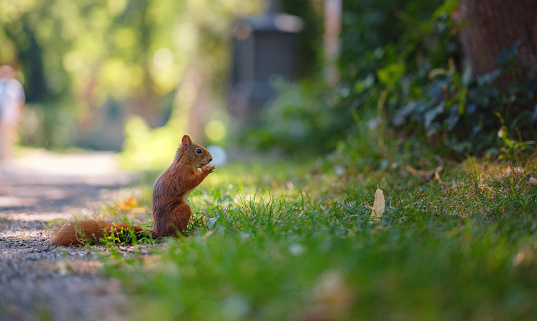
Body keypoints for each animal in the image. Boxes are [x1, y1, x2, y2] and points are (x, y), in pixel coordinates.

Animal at [49, 135, 214, 245]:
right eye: (198, 150)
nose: (211, 159)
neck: (184, 160)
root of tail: (158, 231)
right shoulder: (181, 174)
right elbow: (190, 181)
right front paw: (207, 170)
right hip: (182, 211)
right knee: (171, 235)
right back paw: (185, 236)